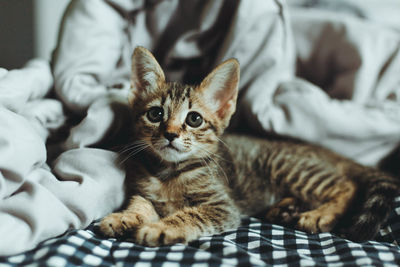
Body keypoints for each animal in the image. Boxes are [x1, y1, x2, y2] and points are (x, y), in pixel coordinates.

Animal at [98, 46, 398, 247]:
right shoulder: (145, 192)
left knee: (347, 186)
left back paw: (320, 215)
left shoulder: (222, 206)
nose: (170, 134)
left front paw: (161, 228)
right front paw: (124, 218)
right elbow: (140, 203)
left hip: (290, 168)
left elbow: (190, 215)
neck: (168, 173)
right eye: (155, 114)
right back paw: (285, 208)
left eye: (194, 119)